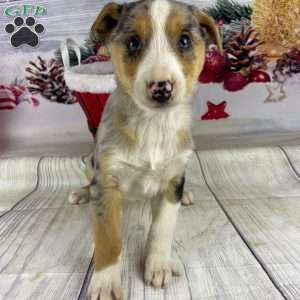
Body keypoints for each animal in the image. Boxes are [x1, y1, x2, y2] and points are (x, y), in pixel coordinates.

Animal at [69, 1, 220, 298]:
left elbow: (162, 229)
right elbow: (108, 238)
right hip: (90, 163)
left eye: (185, 40)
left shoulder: (172, 180)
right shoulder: (107, 179)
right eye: (133, 42)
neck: (153, 125)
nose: (162, 88)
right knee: (88, 182)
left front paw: (158, 266)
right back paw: (81, 193)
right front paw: (105, 282)